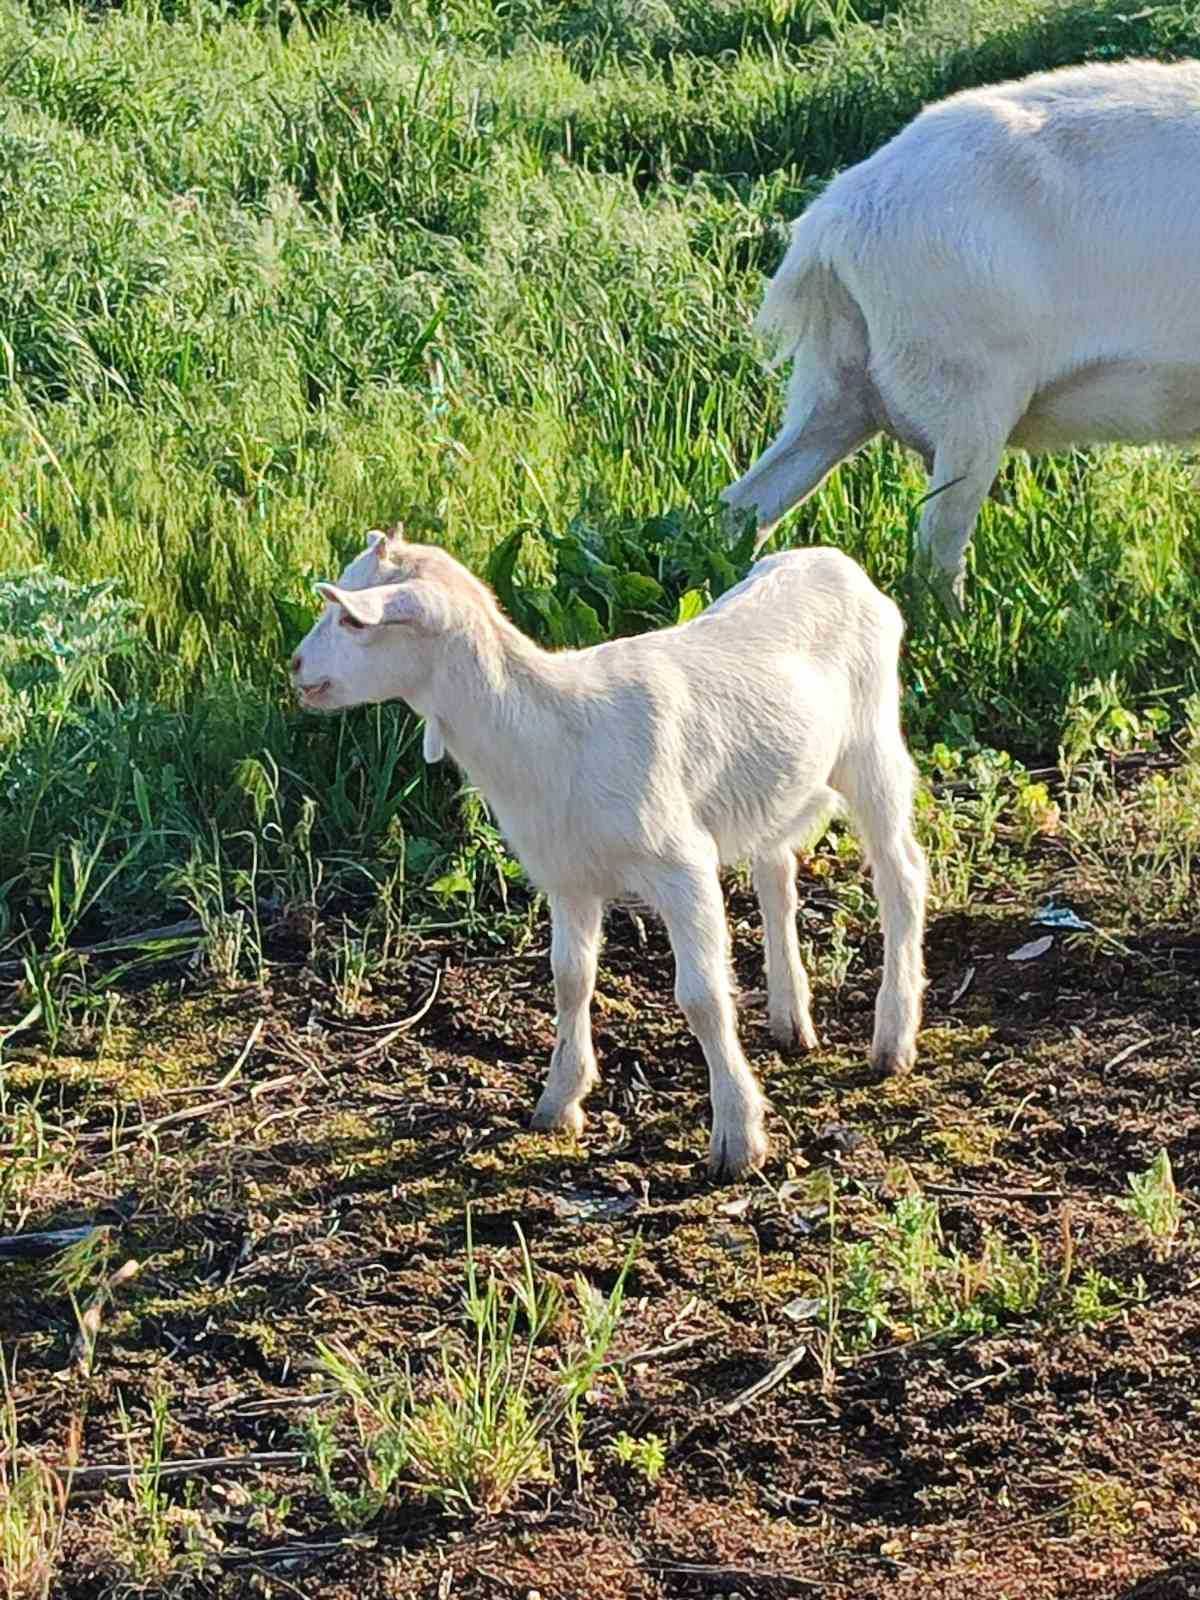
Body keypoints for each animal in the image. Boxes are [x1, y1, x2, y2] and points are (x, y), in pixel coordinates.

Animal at [294, 531, 928, 1184]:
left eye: (351, 618)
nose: (295, 667)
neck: (554, 728)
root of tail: (830, 558)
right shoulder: (567, 874)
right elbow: (570, 978)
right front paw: (559, 1102)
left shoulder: (681, 864)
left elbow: (702, 997)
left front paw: (737, 1136)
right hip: (771, 781)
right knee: (776, 874)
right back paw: (790, 1020)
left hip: (872, 743)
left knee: (901, 874)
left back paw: (892, 1039)